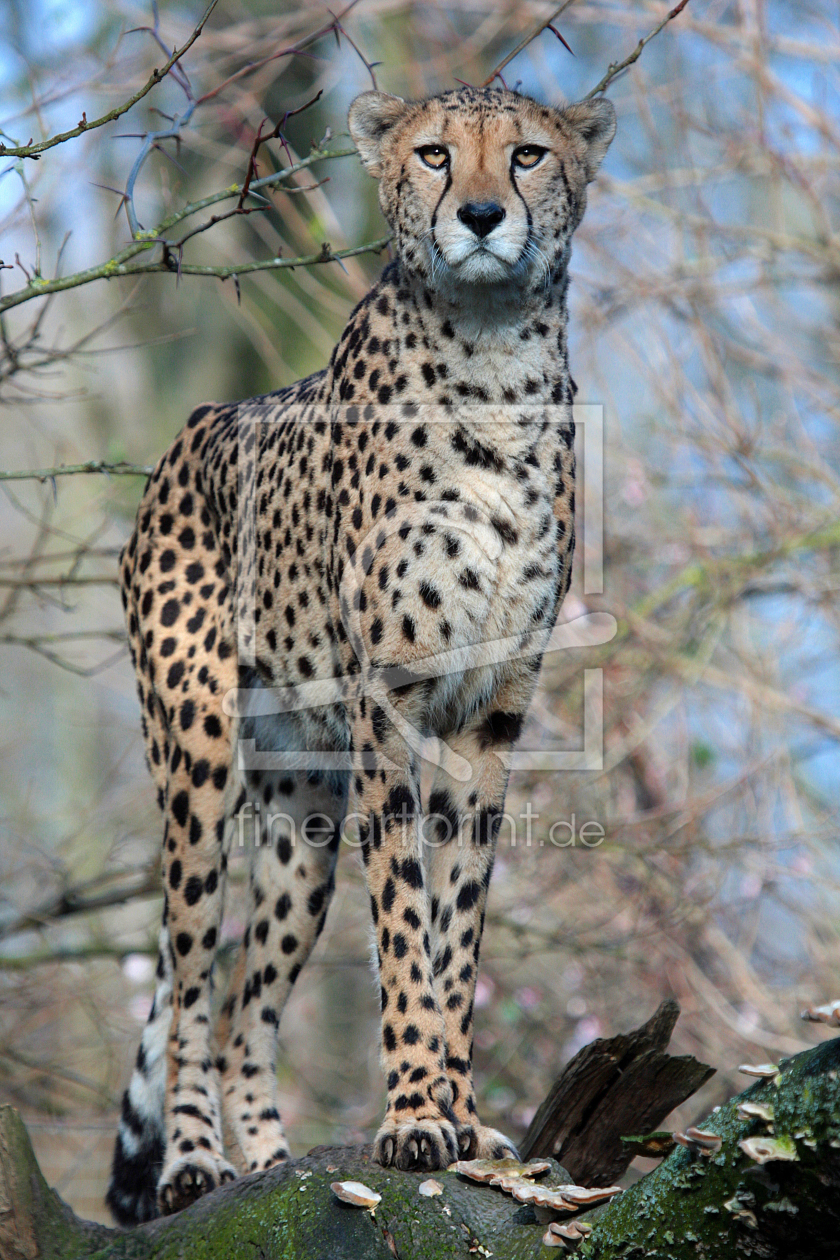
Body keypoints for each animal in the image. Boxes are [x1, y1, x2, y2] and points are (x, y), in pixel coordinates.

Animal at [108, 86, 614, 1219]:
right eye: (433, 155)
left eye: (527, 155)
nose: (481, 215)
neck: (494, 366)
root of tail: (194, 427)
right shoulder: (392, 709)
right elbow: (404, 926)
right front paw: (419, 1114)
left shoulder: (486, 722)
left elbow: (455, 929)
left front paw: (465, 1117)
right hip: (199, 763)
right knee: (193, 978)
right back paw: (196, 1162)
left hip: (304, 808)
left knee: (248, 999)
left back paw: (266, 1161)